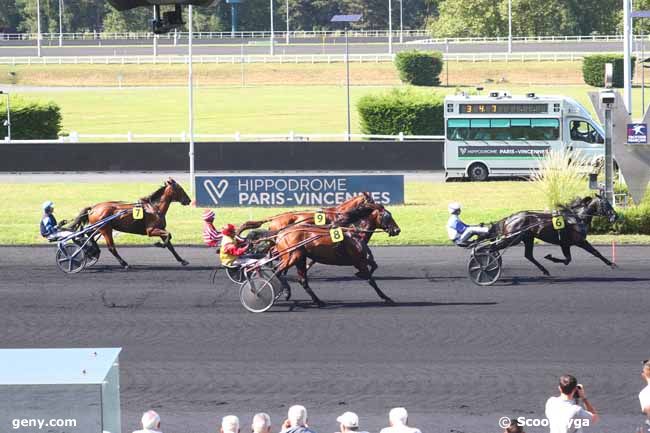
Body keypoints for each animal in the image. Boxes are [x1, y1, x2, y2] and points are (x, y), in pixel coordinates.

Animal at [488, 194, 616, 276]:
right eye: (606, 204)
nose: (615, 216)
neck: (576, 218)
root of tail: (509, 218)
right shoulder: (572, 242)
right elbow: (571, 259)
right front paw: (550, 257)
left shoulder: (571, 243)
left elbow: (590, 254)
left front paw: (611, 264)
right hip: (513, 238)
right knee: (491, 248)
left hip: (527, 238)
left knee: (528, 255)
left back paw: (545, 270)